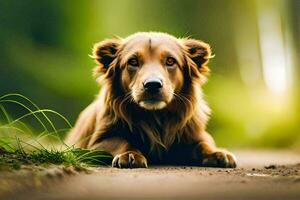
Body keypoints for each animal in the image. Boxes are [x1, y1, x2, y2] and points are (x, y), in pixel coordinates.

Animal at [65, 32, 237, 169]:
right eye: (133, 61)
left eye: (170, 61)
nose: (152, 85)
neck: (155, 116)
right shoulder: (97, 143)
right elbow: (122, 141)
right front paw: (130, 154)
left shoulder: (193, 135)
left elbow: (203, 144)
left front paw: (217, 153)